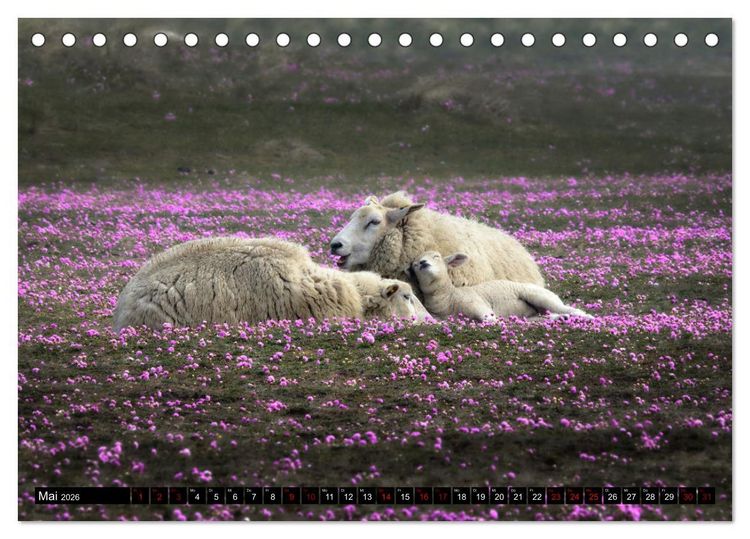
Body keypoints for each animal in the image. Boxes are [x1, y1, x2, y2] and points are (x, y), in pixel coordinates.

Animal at [409, 251, 592, 322]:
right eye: (415, 264)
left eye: (436, 256)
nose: (423, 263)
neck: (447, 296)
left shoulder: (477, 304)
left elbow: (490, 319)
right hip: (534, 312)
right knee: (542, 317)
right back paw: (561, 318)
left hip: (540, 296)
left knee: (566, 307)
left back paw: (584, 316)